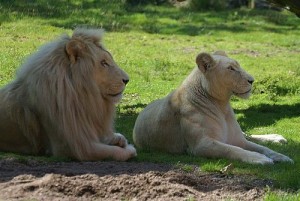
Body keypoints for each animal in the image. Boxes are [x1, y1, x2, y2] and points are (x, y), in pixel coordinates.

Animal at [0, 27, 136, 162]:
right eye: (103, 63)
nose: (127, 80)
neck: (84, 97)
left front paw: (118, 139)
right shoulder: (74, 147)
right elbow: (112, 152)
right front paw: (129, 149)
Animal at [134, 51, 292, 164]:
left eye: (238, 66)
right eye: (231, 69)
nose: (252, 80)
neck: (222, 106)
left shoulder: (238, 139)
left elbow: (263, 148)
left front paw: (282, 157)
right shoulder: (201, 145)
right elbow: (233, 150)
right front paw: (260, 158)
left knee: (249, 135)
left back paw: (277, 138)